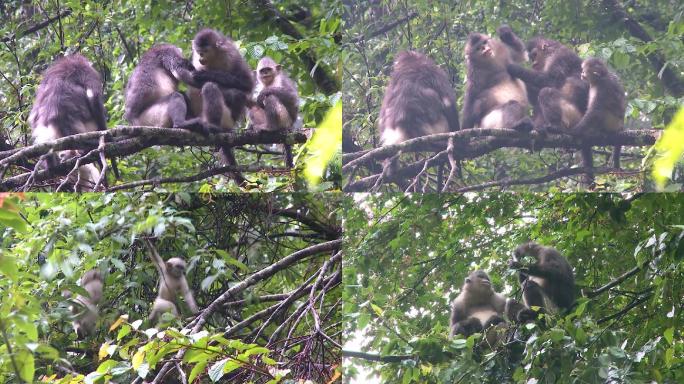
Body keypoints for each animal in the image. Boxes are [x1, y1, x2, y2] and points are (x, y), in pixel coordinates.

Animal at [175, 29, 255, 185]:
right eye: (199, 52)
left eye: (205, 51)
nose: (201, 57)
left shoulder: (231, 54)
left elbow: (247, 84)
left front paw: (206, 75)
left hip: (227, 119)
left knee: (214, 88)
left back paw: (214, 126)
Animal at [568, 57, 628, 185]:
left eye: (585, 71)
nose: (582, 73)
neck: (602, 77)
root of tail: (621, 126)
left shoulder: (602, 87)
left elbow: (594, 111)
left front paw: (574, 132)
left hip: (612, 122)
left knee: (601, 111)